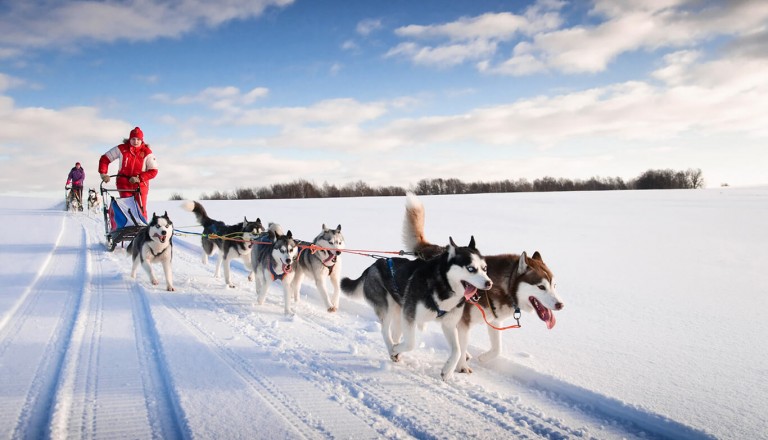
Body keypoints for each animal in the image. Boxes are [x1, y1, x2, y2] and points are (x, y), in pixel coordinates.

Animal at [342, 235, 492, 380]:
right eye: (471, 269)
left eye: (485, 268)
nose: (489, 283)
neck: (443, 285)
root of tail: (372, 266)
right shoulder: (410, 316)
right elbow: (411, 343)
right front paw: (395, 349)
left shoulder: (448, 324)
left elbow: (458, 350)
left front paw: (447, 371)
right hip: (387, 309)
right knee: (385, 331)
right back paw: (392, 348)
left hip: (399, 312)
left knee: (395, 332)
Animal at [402, 191, 564, 372]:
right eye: (541, 287)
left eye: (554, 285)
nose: (560, 305)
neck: (503, 286)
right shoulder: (463, 323)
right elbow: (462, 345)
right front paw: (462, 366)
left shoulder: (494, 321)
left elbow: (497, 349)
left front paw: (483, 357)